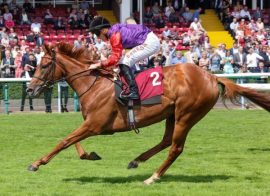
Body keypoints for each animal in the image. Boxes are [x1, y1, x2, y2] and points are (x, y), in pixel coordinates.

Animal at [25, 43, 270, 185]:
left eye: (45, 65)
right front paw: (91, 155)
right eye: (35, 64)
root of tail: (211, 76)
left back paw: (153, 177)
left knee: (175, 148)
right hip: (172, 114)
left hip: (187, 114)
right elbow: (71, 141)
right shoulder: (91, 124)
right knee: (167, 141)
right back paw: (136, 161)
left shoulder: (95, 125)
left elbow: (64, 141)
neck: (94, 84)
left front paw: (36, 164)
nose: (29, 89)